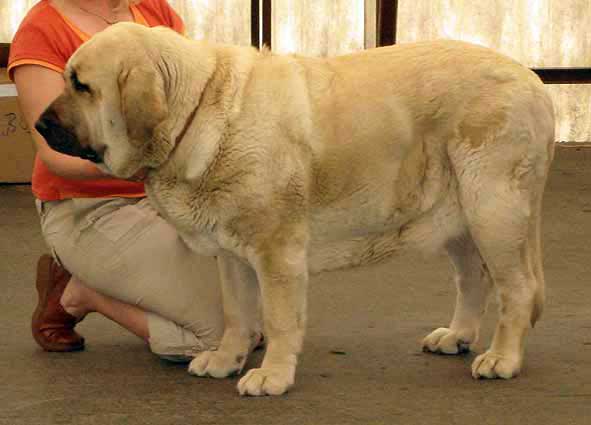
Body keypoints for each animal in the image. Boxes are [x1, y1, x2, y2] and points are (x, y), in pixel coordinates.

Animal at [35, 22, 556, 394]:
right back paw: (457, 336)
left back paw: (502, 358)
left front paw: (272, 376)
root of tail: (534, 81)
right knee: (473, 279)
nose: (39, 124)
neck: (197, 111)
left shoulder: (276, 253)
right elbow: (237, 314)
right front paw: (225, 360)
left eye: (82, 86)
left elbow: (279, 319)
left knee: (517, 288)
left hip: (493, 208)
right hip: (460, 218)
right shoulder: (232, 255)